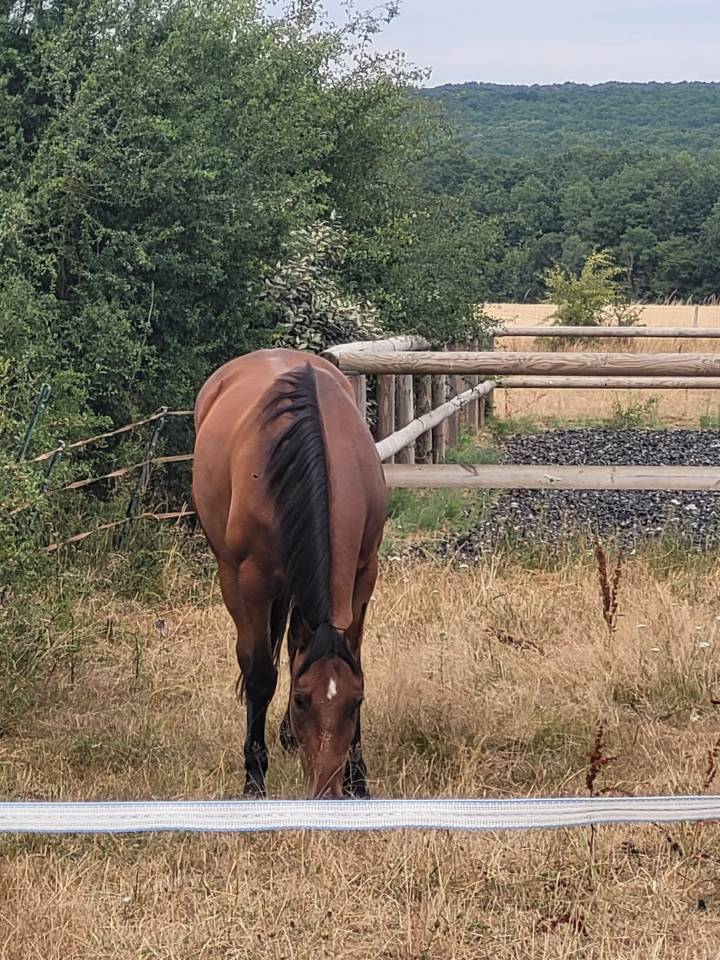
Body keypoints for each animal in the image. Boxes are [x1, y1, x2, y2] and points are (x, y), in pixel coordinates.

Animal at [192, 349, 387, 798]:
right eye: (301, 699)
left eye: (356, 702)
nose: (326, 792)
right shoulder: (250, 583)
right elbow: (260, 674)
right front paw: (254, 779)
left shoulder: (364, 573)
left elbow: (350, 655)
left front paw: (358, 777)